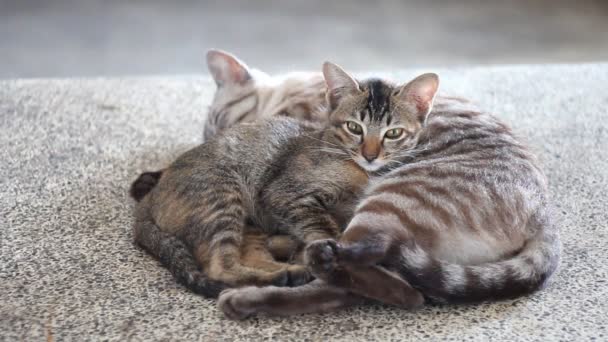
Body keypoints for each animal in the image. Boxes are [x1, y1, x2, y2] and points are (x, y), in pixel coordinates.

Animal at [217, 62, 560, 320]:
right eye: (355, 128)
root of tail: (543, 215)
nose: (370, 156)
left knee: (392, 286)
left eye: (393, 133)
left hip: (390, 201)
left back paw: (264, 288)